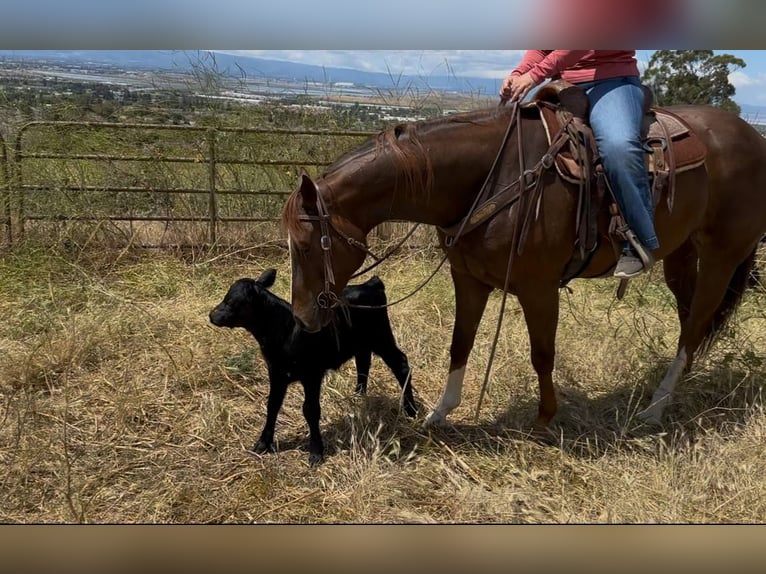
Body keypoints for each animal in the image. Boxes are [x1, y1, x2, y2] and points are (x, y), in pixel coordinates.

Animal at [281, 97, 766, 433]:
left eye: (305, 245)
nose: (302, 317)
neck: (490, 177)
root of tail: (752, 137)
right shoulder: (469, 279)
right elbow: (460, 344)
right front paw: (440, 414)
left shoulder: (538, 288)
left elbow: (542, 354)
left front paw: (544, 418)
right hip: (682, 253)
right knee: (691, 321)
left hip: (722, 255)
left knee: (696, 322)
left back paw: (656, 407)